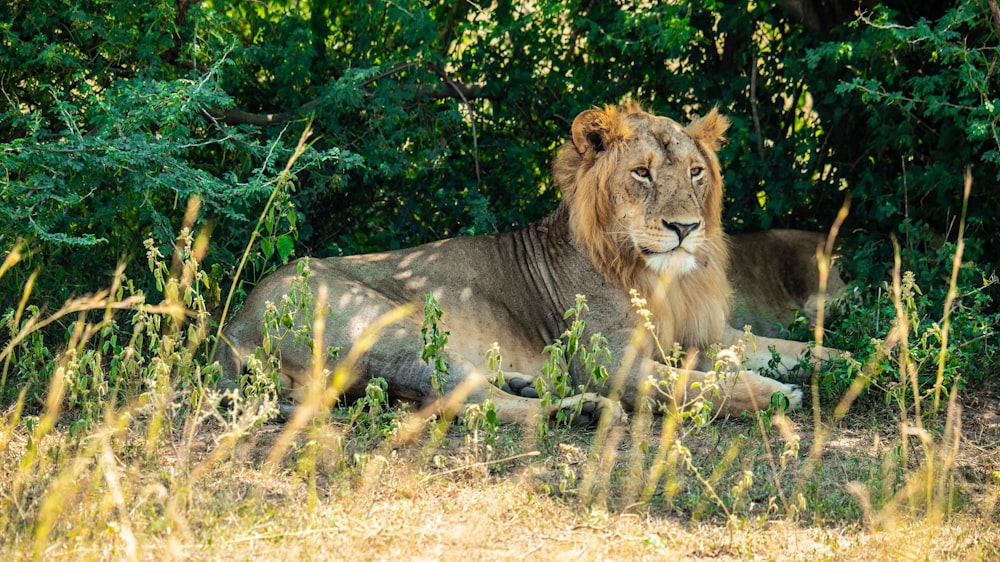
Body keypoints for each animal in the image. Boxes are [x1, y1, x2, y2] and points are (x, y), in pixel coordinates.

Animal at [215, 103, 840, 422]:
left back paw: (528, 384)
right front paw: (775, 394)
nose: (685, 228)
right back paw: (579, 412)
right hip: (387, 326)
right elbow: (696, 384)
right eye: (641, 173)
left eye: (695, 173)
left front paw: (847, 358)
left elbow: (786, 347)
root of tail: (232, 326)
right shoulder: (610, 362)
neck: (661, 279)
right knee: (459, 401)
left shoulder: (699, 335)